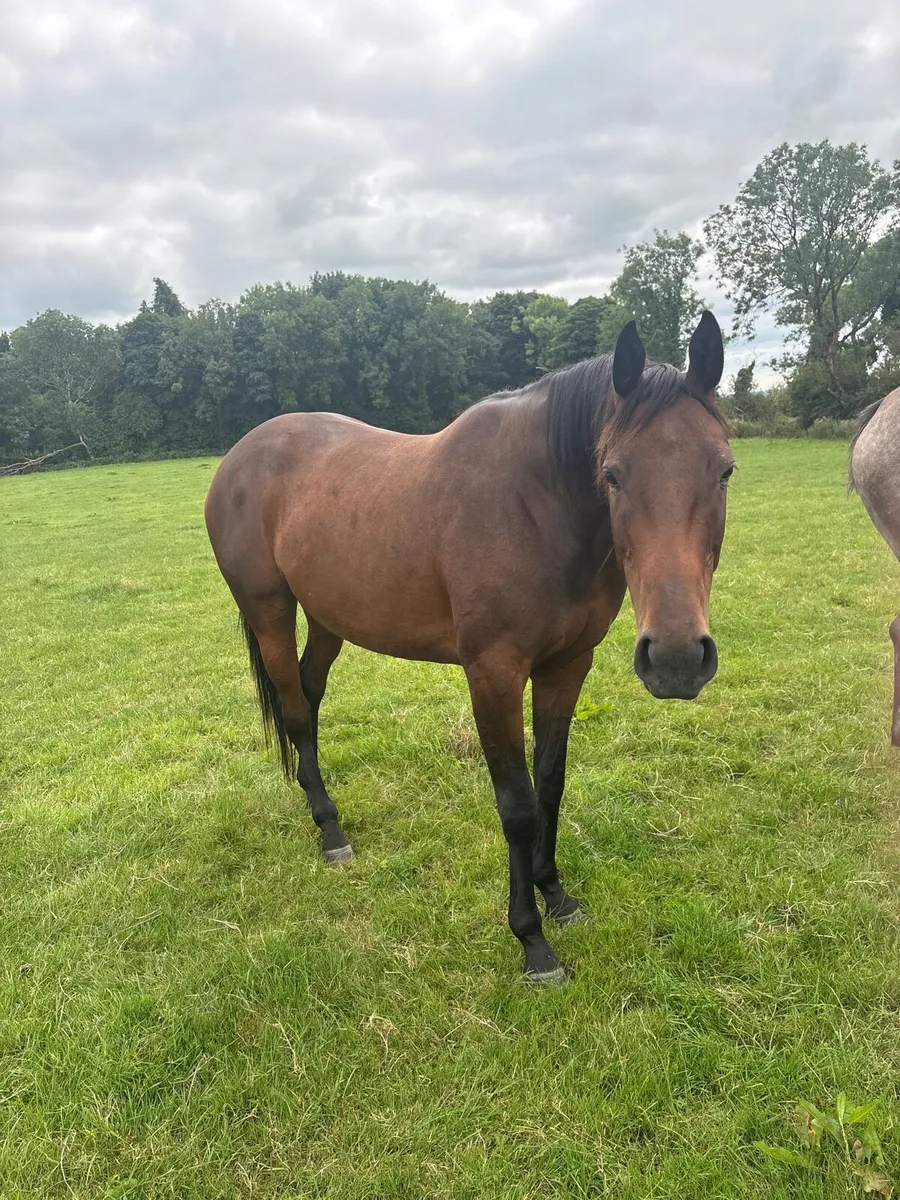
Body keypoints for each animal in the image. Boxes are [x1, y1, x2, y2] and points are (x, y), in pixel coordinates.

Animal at [205, 314, 732, 984]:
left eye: (724, 469)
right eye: (612, 473)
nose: (676, 658)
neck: (537, 506)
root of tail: (238, 457)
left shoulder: (567, 665)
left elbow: (550, 783)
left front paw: (557, 896)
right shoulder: (494, 673)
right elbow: (517, 804)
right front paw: (532, 941)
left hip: (327, 618)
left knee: (309, 692)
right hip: (270, 612)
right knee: (296, 710)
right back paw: (330, 830)